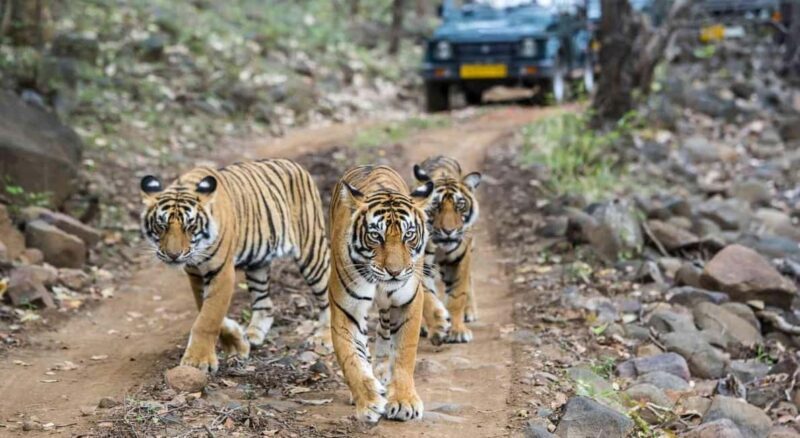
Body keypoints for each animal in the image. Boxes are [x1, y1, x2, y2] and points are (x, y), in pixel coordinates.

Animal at [139, 159, 331, 373]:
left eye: (190, 226)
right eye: (161, 226)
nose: (173, 255)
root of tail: (295, 165)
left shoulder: (221, 272)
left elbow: (209, 317)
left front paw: (198, 360)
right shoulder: (196, 274)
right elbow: (205, 309)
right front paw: (237, 343)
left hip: (311, 250)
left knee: (328, 294)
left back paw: (324, 337)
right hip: (258, 263)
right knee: (265, 303)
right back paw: (254, 335)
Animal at [328, 165, 433, 423]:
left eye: (409, 235)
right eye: (376, 236)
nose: (394, 272)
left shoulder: (408, 302)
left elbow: (404, 353)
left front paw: (404, 402)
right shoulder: (346, 309)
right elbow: (351, 358)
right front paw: (368, 401)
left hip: (389, 305)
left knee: (385, 330)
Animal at [414, 156, 481, 344]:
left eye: (460, 205)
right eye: (436, 206)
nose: (449, 231)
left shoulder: (460, 258)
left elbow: (457, 294)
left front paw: (457, 331)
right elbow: (427, 297)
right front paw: (438, 327)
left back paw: (469, 312)